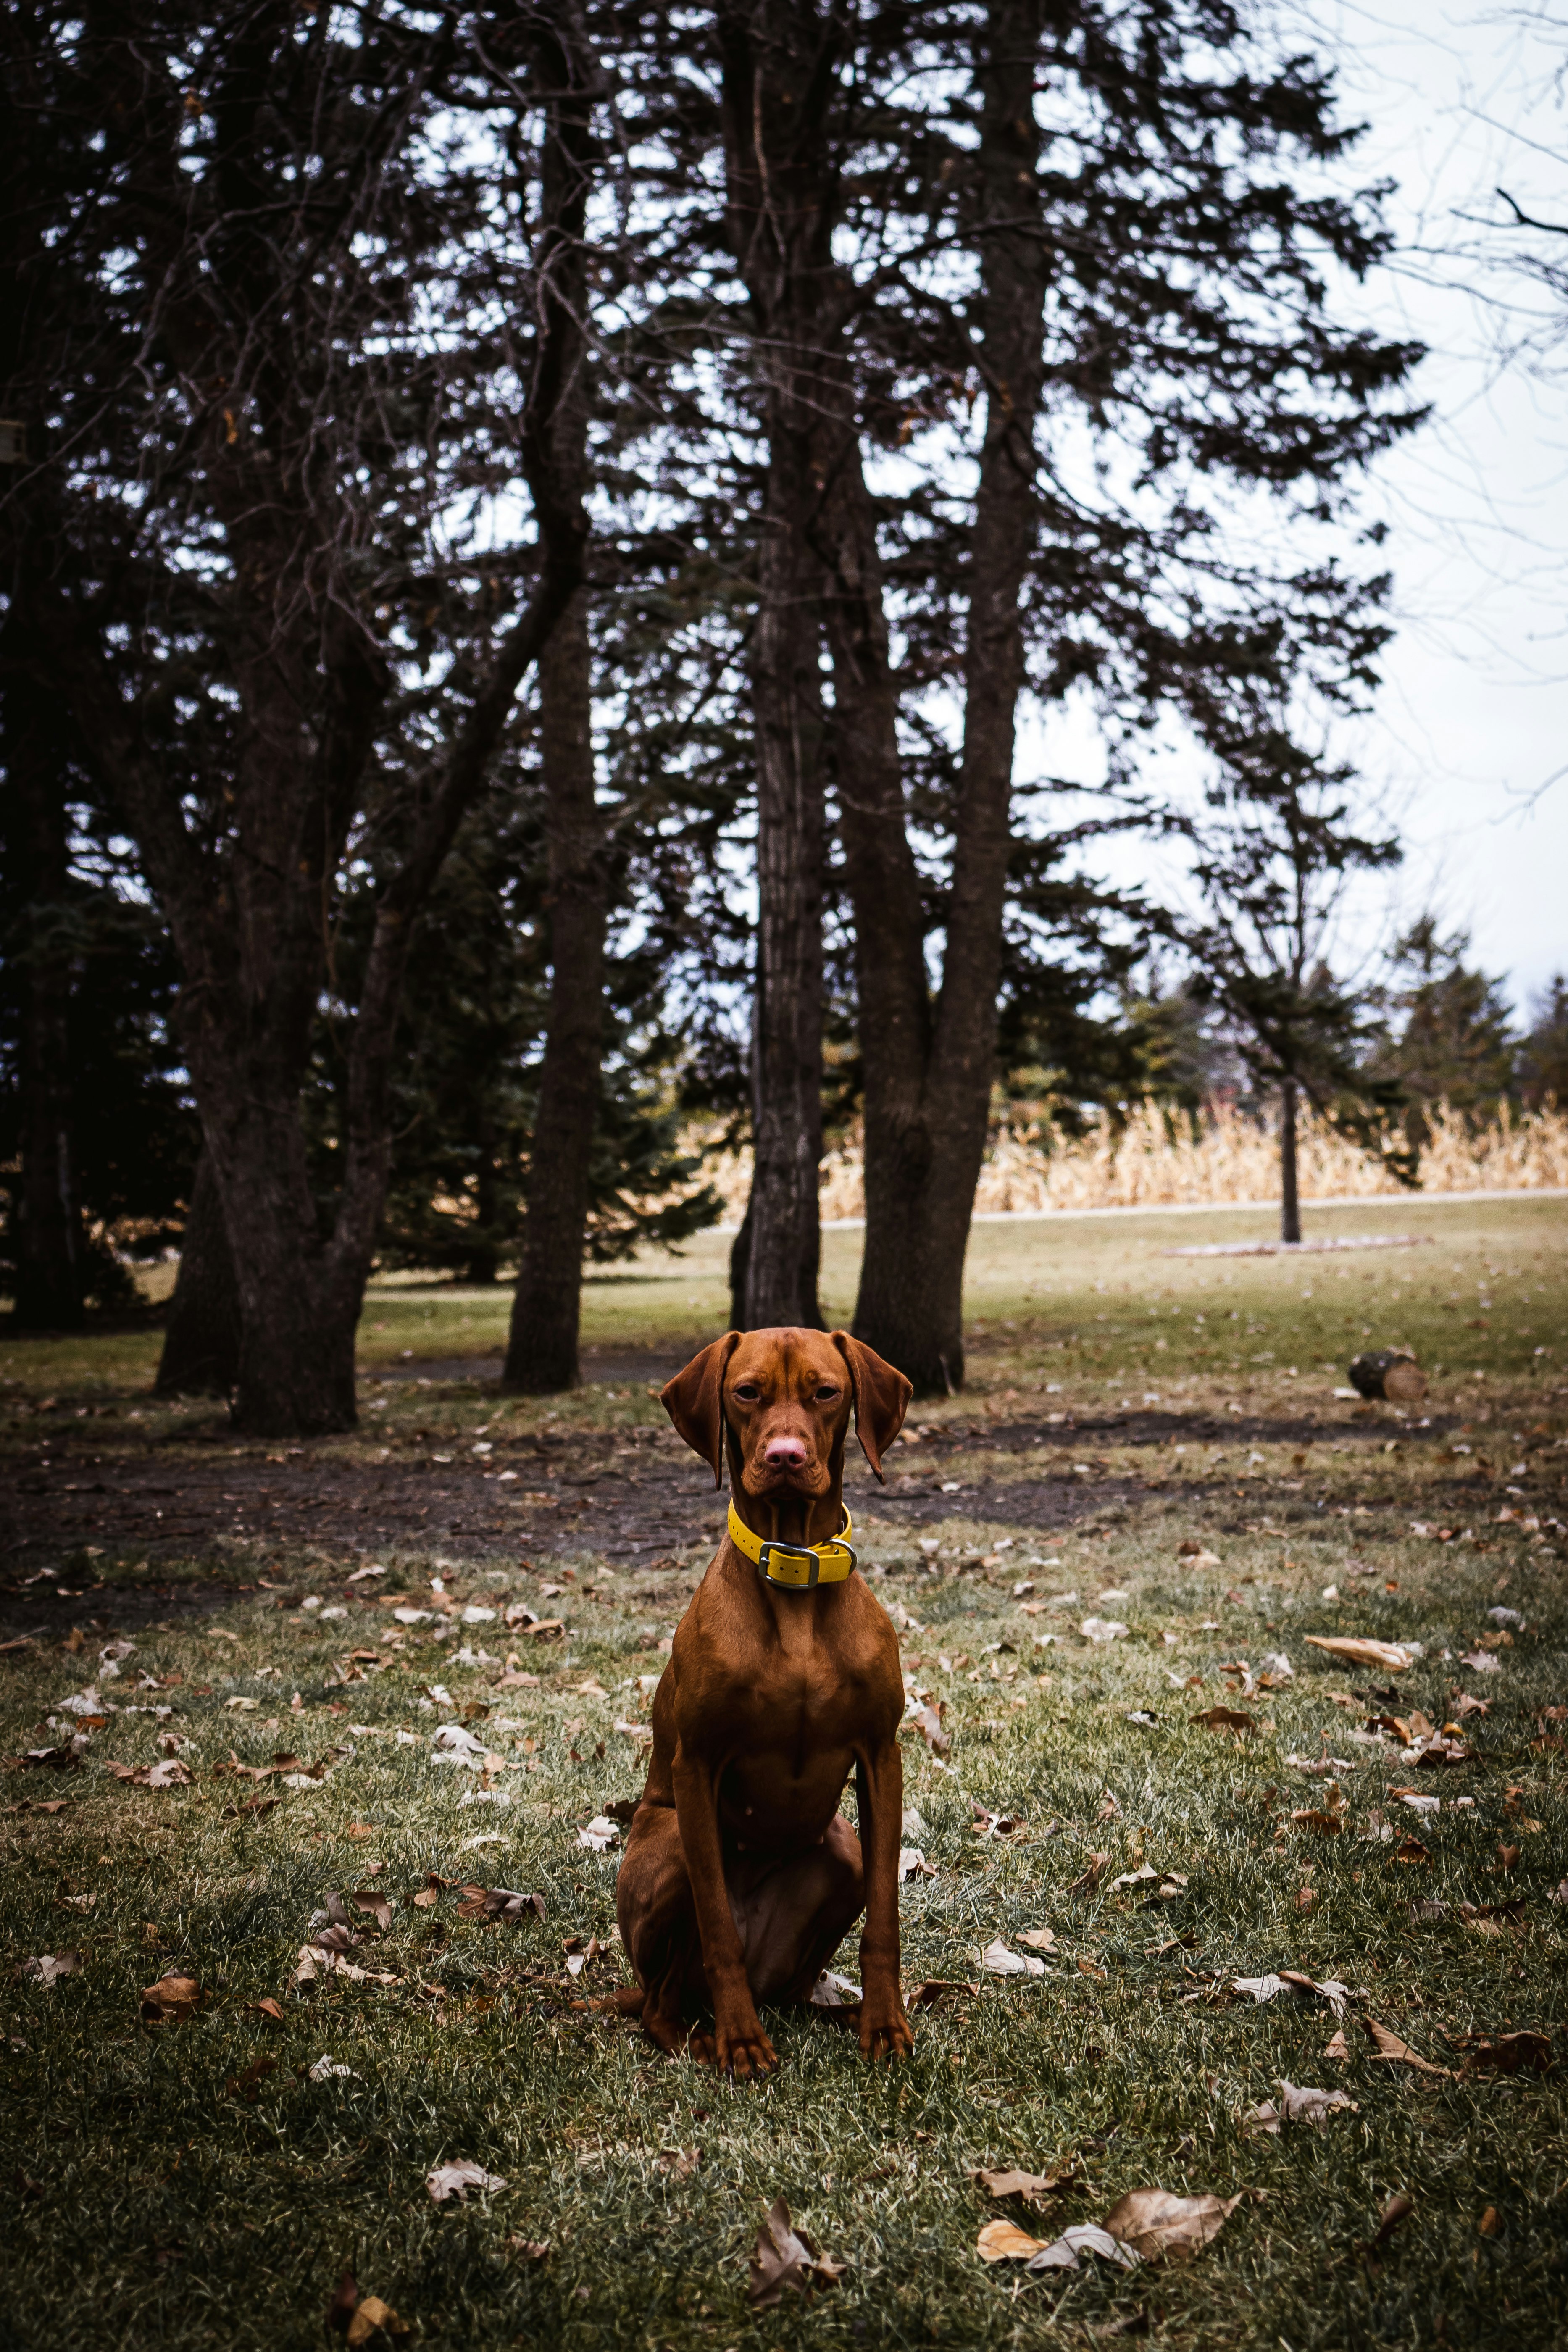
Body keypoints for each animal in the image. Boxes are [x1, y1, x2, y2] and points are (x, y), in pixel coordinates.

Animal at [606, 1326, 912, 2079]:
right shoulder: (696, 1766)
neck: (795, 1573)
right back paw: (706, 2036)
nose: (785, 1457)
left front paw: (885, 2023)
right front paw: (742, 2042)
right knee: (665, 2001)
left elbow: (886, 1914)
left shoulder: (882, 1757)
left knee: (793, 1990)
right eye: (747, 1392)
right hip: (673, 1845)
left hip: (841, 1852)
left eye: (826, 1392)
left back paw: (835, 2014)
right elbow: (717, 1925)